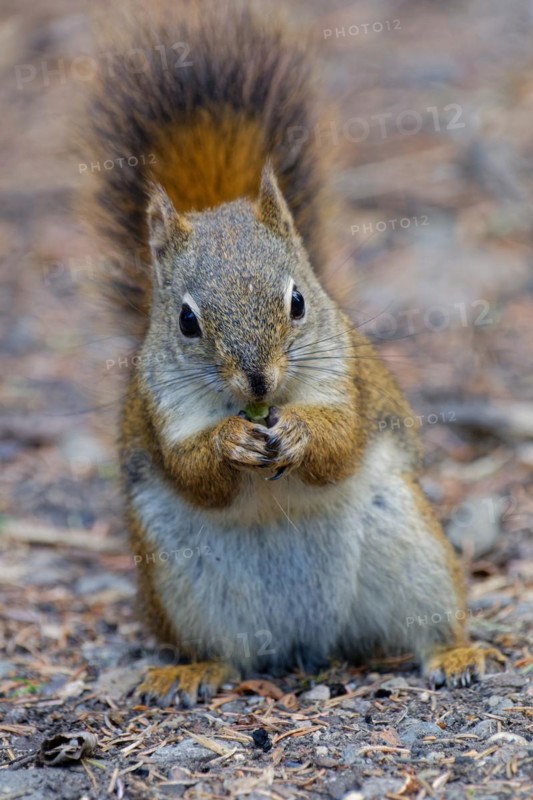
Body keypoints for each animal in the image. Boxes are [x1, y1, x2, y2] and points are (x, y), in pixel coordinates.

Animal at [84, 1, 503, 706]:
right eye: (186, 322)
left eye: (299, 302)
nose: (257, 384)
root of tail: (307, 640)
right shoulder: (162, 407)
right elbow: (192, 470)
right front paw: (230, 441)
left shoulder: (347, 380)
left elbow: (341, 443)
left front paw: (303, 433)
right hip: (180, 582)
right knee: (223, 653)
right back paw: (191, 670)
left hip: (412, 547)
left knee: (428, 625)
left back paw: (456, 652)